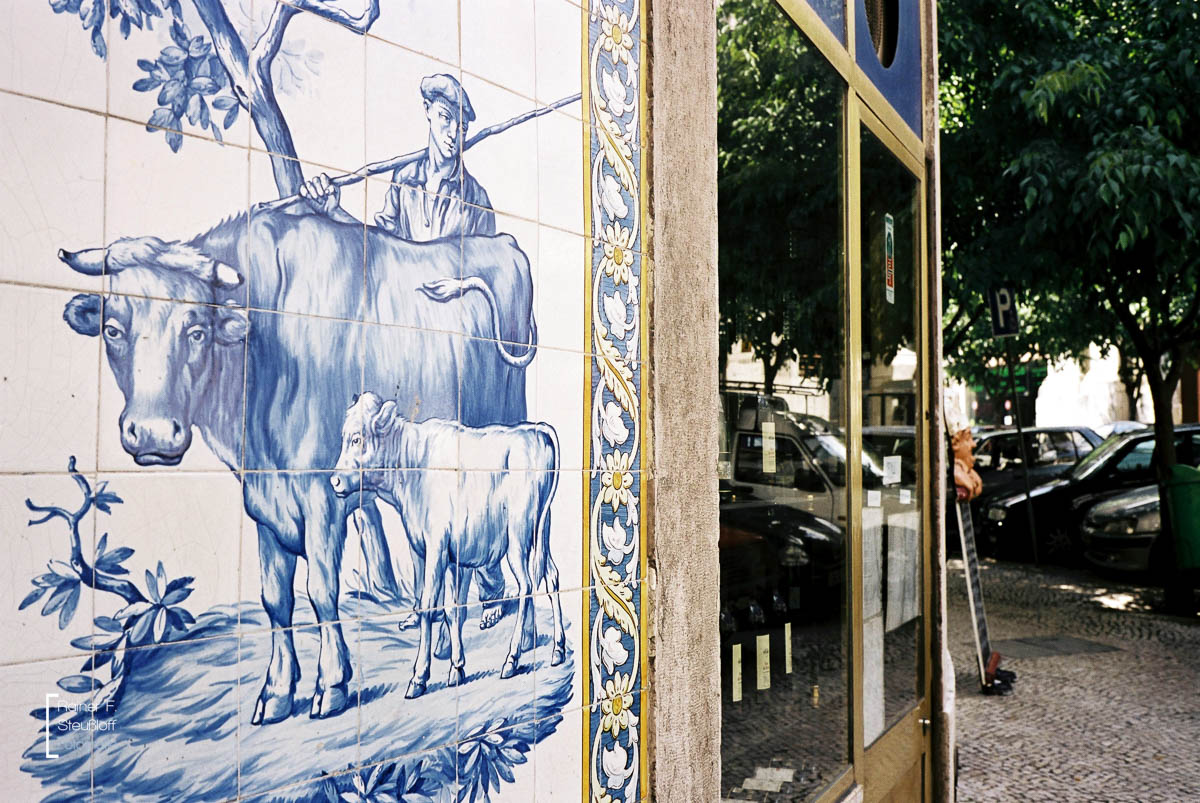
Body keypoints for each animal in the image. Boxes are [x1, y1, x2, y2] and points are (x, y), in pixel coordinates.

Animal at [58, 205, 536, 724]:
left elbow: (321, 591)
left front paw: (332, 684)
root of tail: (505, 241)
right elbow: (276, 600)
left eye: (196, 329)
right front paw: (277, 691)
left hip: (504, 415)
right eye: (112, 328)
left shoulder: (321, 500)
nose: (151, 433)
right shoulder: (266, 506)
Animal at [329, 392, 565, 697]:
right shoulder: (447, 555)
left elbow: (430, 605)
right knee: (552, 577)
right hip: (541, 532)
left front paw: (419, 676)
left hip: (518, 535)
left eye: (357, 439)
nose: (334, 480)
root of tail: (536, 430)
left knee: (526, 585)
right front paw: (457, 668)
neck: (413, 465)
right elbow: (453, 608)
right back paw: (558, 649)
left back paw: (512, 659)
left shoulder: (436, 549)